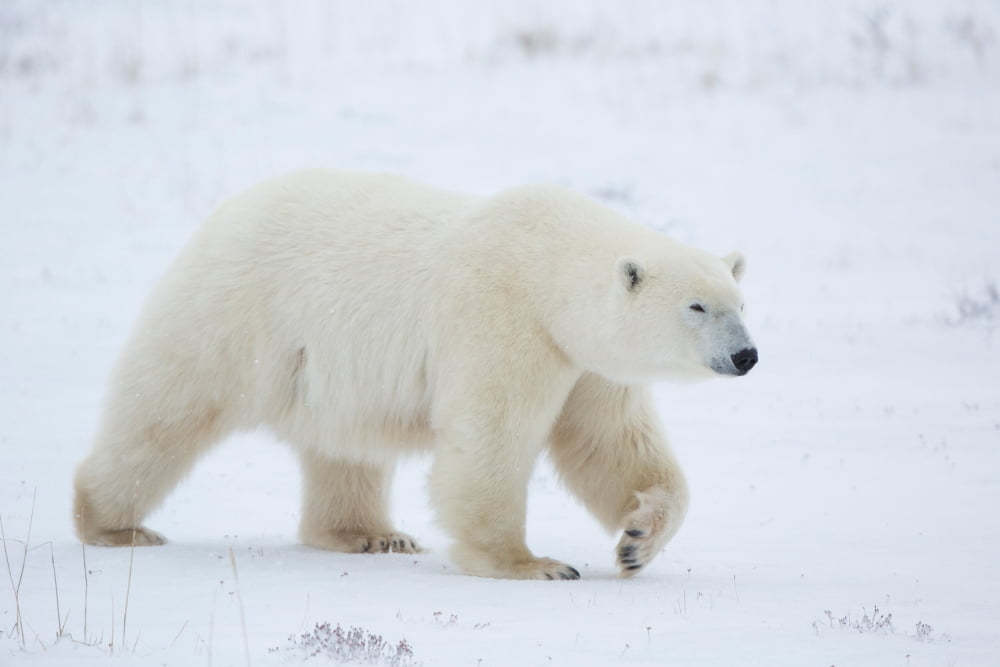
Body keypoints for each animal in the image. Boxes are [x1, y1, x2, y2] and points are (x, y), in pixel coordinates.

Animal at [73, 169, 757, 580]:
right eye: (697, 307)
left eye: (740, 303)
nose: (746, 356)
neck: (545, 266)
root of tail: (224, 213)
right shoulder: (503, 317)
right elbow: (490, 436)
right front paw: (531, 563)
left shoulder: (585, 360)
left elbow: (609, 444)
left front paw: (638, 539)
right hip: (234, 313)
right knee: (165, 408)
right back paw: (112, 524)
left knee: (343, 446)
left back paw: (370, 536)